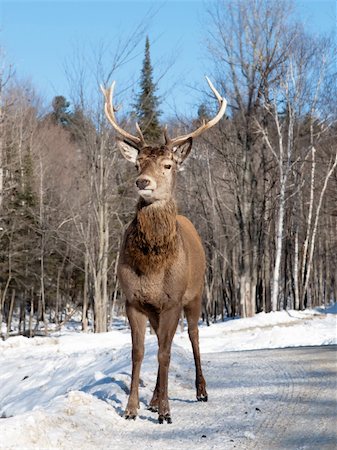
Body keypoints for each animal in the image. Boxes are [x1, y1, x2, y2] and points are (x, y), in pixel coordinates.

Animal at [100, 75, 226, 424]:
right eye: (138, 163)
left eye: (168, 165)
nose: (143, 182)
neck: (153, 267)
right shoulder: (134, 301)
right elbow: (140, 352)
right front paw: (131, 409)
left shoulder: (171, 301)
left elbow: (167, 353)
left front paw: (167, 413)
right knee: (160, 342)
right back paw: (155, 399)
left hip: (196, 294)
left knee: (193, 336)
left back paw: (200, 391)